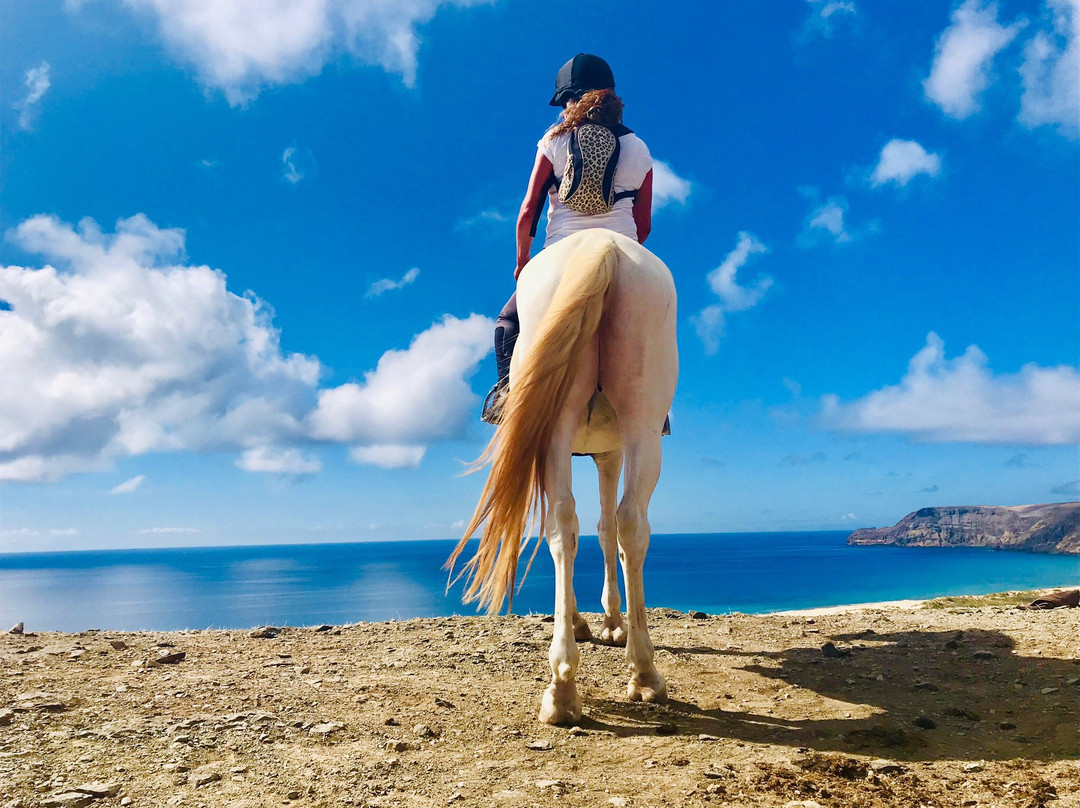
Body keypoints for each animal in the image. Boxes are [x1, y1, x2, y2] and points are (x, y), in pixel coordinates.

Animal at [447, 226, 673, 725]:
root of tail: (602, 244)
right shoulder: (609, 451)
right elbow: (607, 529)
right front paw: (611, 624)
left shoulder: (598, 452)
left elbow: (596, 530)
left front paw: (597, 621)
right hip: (642, 425)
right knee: (628, 524)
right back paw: (641, 674)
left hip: (566, 425)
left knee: (567, 527)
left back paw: (566, 684)